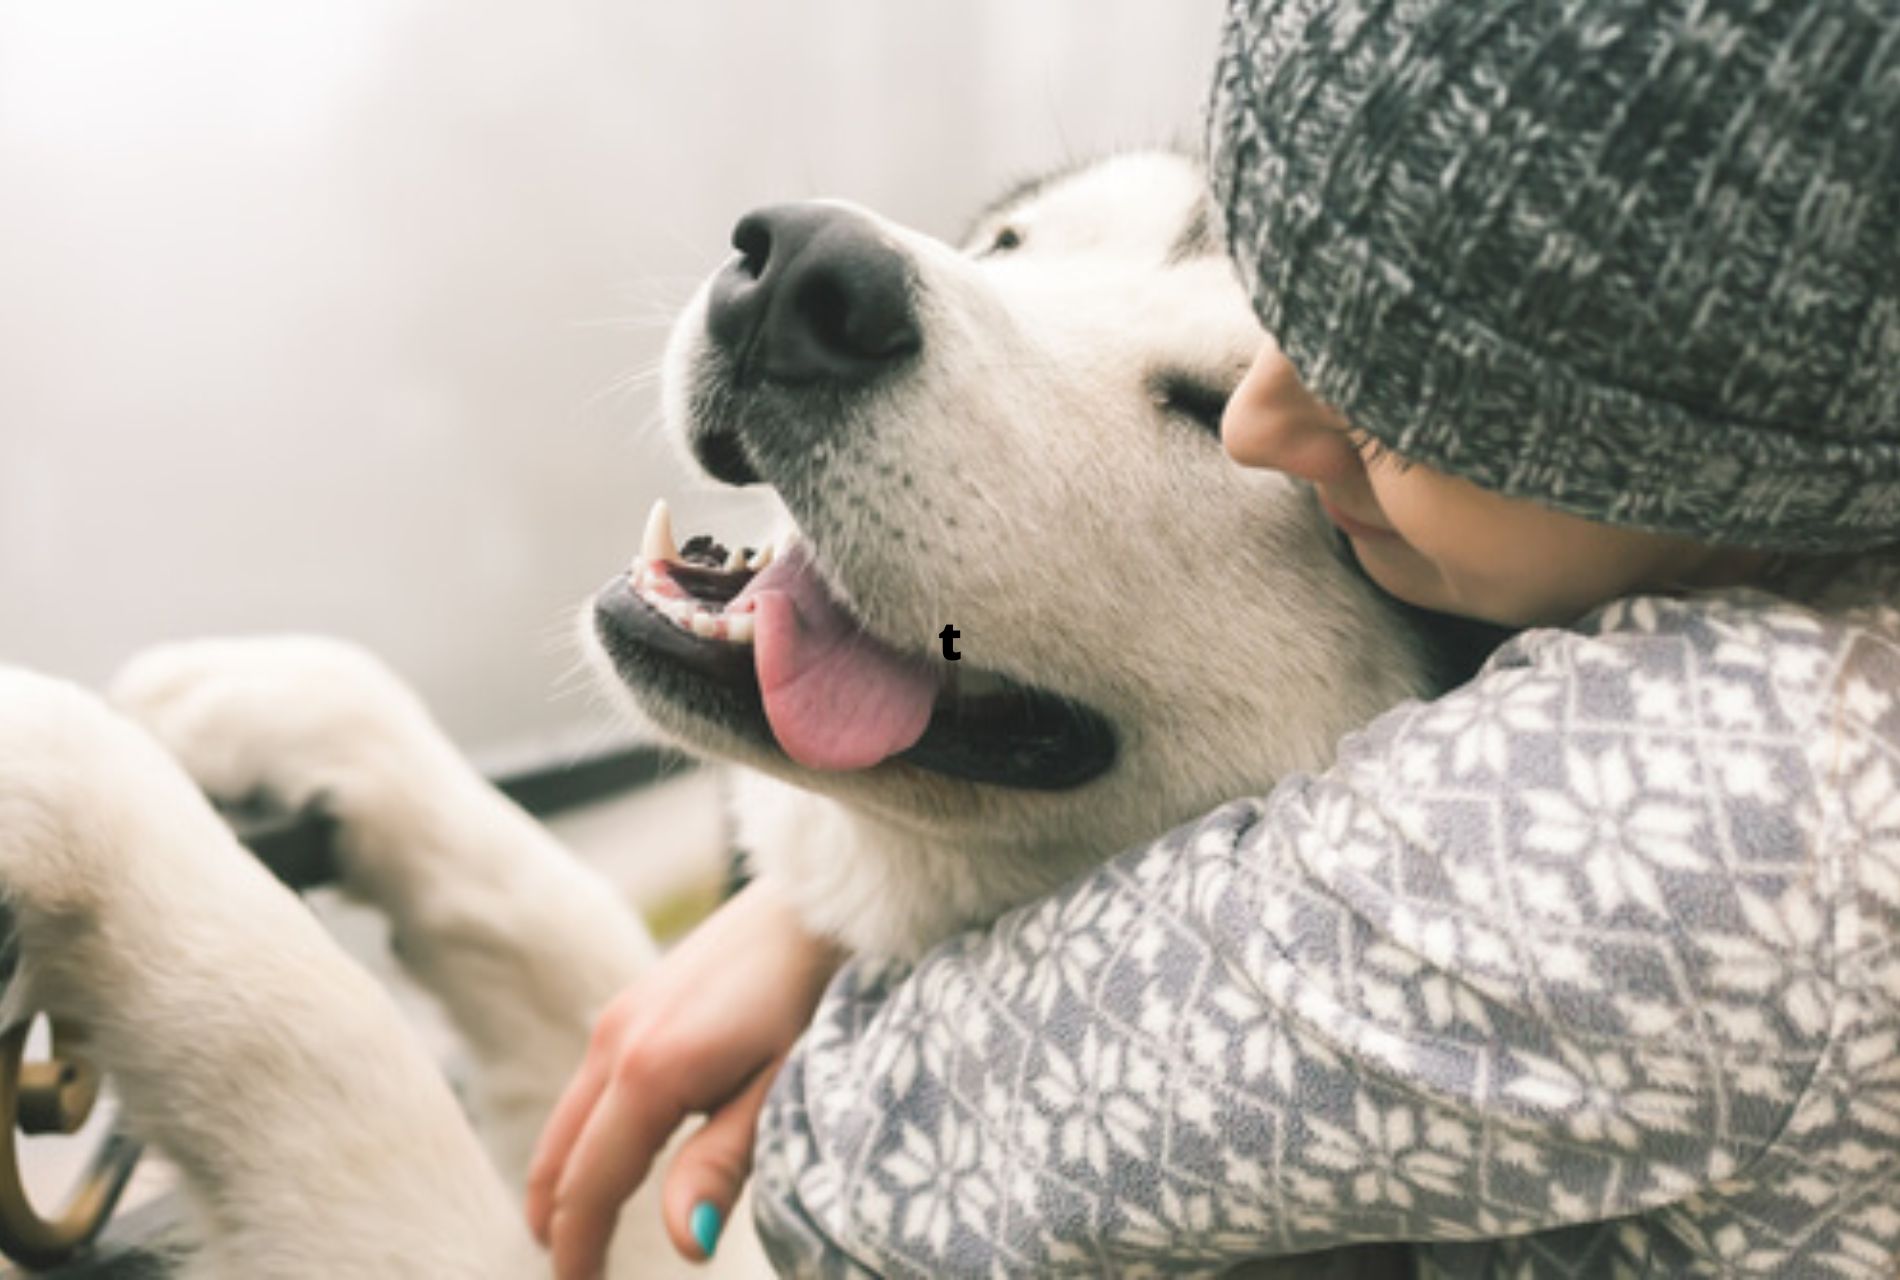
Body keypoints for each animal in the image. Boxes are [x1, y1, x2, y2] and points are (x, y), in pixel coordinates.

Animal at [3, 150, 1451, 1268]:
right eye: (1010, 243)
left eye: (1219, 411)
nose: (808, 270)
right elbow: (562, 932)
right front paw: (293, 706)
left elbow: (329, 1051)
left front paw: (72, 779)